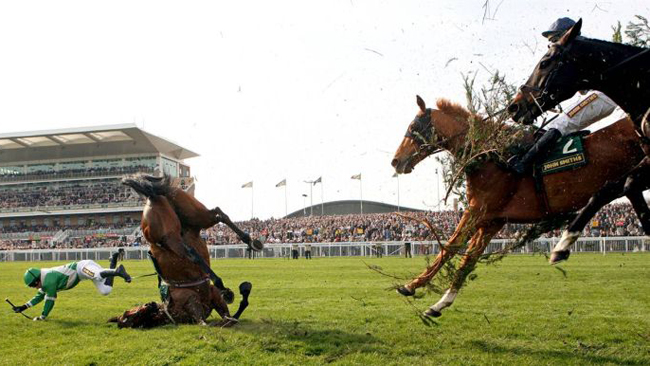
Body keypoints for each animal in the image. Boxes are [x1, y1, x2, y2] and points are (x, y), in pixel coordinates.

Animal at [108, 175, 256, 328]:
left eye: (127, 316)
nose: (149, 305)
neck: (165, 311)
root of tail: (152, 196)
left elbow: (223, 319)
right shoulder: (208, 301)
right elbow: (229, 317)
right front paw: (244, 290)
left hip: (170, 236)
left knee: (193, 252)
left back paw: (224, 284)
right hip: (192, 214)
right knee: (218, 214)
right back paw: (252, 242)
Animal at [390, 96, 644, 316]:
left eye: (414, 125)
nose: (395, 160)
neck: (491, 155)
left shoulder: (477, 211)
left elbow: (450, 247)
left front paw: (410, 286)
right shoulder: (492, 220)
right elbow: (468, 259)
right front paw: (440, 303)